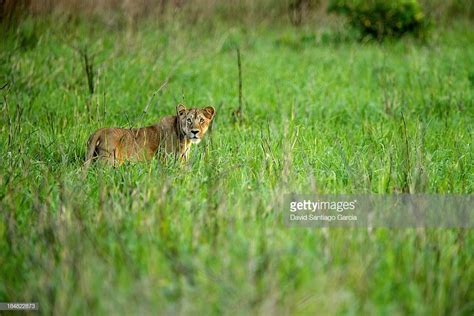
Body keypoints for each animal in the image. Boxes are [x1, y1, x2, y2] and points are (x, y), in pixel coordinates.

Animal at [84, 104, 215, 168]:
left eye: (201, 120)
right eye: (188, 120)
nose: (195, 131)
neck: (185, 139)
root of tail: (100, 131)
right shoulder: (166, 160)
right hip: (108, 162)